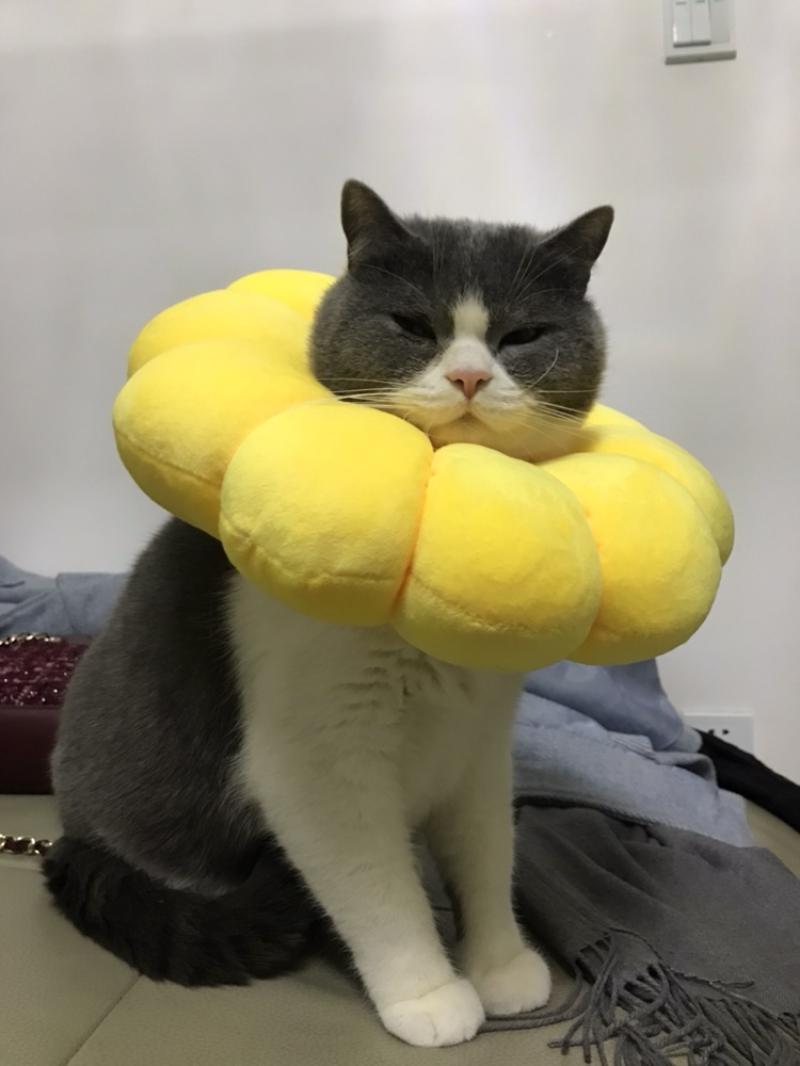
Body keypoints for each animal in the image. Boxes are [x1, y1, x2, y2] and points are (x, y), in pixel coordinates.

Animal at [45, 180, 613, 1048]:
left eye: (521, 336)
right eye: (414, 326)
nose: (470, 378)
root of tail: (69, 833)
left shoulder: (481, 738)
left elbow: (489, 850)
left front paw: (501, 965)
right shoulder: (317, 759)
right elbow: (378, 888)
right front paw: (429, 995)